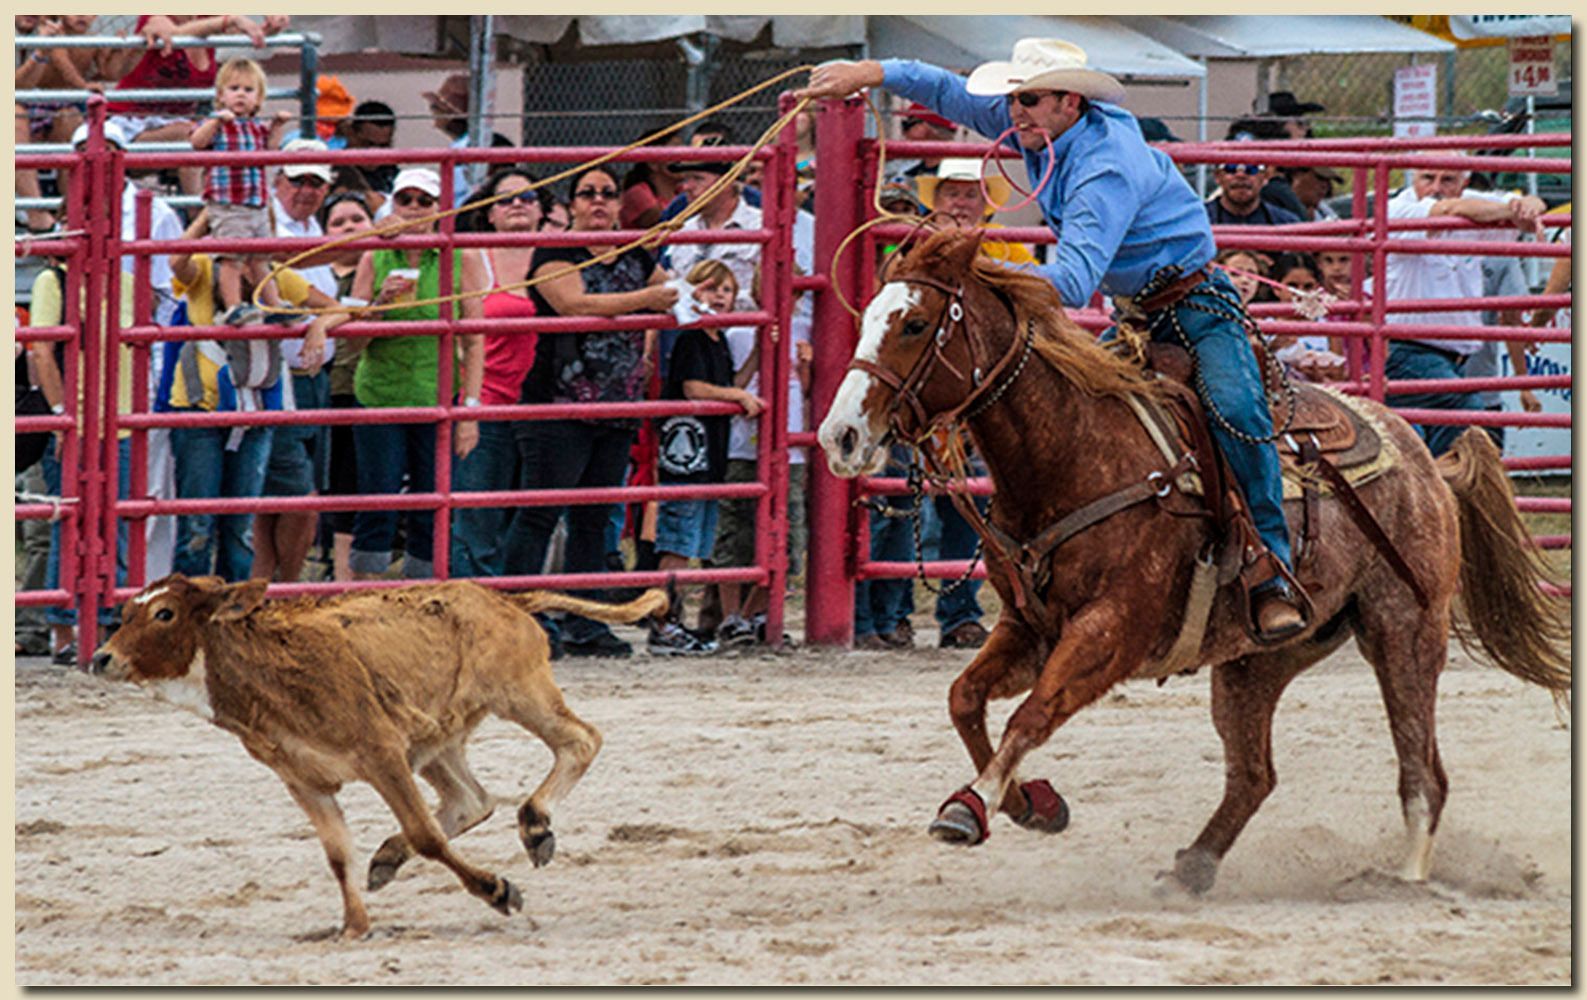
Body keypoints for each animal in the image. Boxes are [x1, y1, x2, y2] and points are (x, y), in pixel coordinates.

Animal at [90, 573, 669, 939]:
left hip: (519, 693)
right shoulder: (304, 781)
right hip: (437, 740)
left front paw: (496, 891)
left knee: (579, 741)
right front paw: (353, 927)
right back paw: (391, 857)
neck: (266, 668)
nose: (100, 657)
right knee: (471, 799)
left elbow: (426, 835)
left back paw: (536, 825)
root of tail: (503, 599)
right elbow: (338, 855)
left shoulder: (381, 754)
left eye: (164, 613)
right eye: (126, 613)